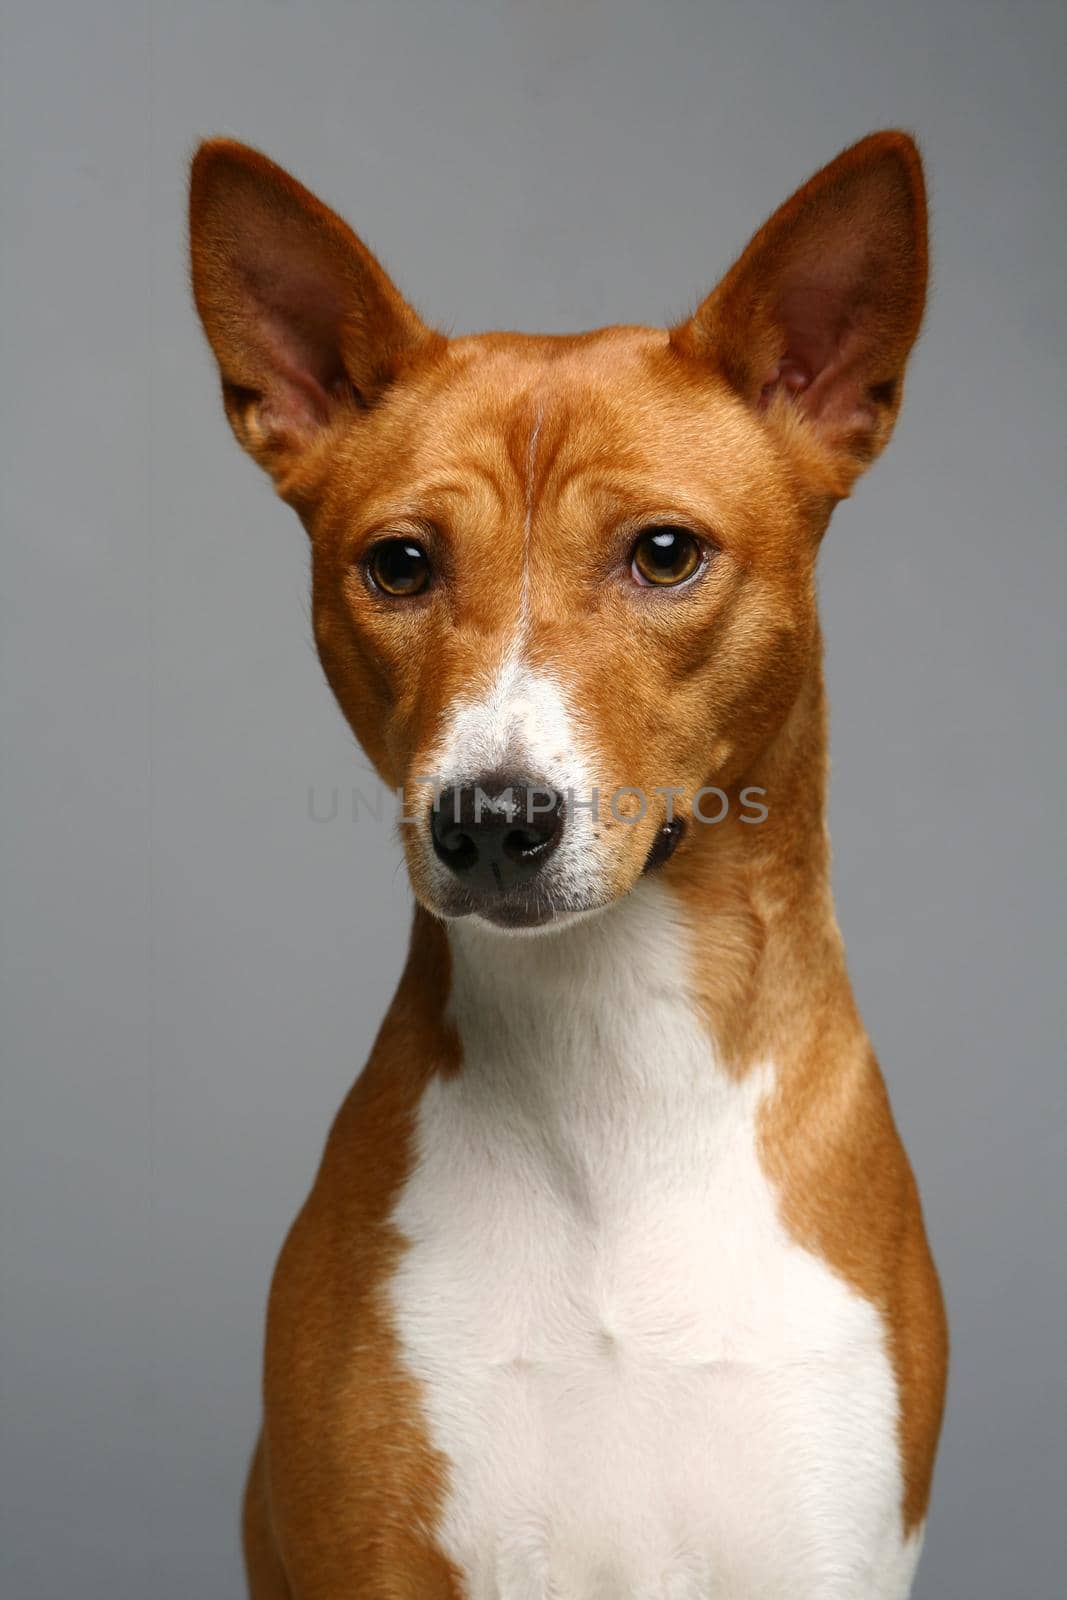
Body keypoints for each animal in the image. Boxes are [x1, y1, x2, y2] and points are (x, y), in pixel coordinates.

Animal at [191, 128, 953, 1600]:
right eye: (398, 565)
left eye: (663, 553)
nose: (490, 817)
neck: (614, 1059)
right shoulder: (373, 1550)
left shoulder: (824, 1549)